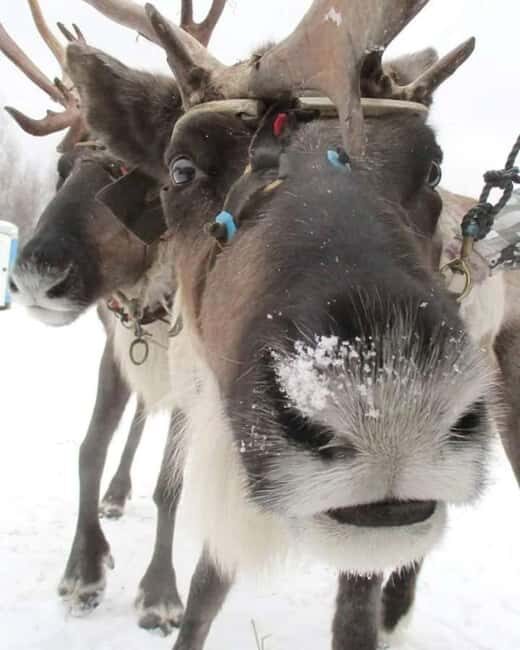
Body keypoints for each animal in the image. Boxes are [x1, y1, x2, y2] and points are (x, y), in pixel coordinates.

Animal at [1, 0, 226, 634]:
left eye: (149, 179)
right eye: (62, 167)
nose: (37, 273)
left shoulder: (191, 372)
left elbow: (170, 485)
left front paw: (159, 592)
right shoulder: (115, 344)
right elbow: (90, 448)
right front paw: (84, 569)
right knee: (138, 420)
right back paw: (117, 494)